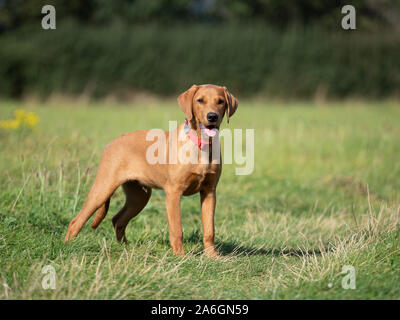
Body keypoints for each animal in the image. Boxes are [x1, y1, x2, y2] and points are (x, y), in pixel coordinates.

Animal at [65, 83, 238, 258]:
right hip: (103, 188)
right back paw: (68, 247)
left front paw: (213, 256)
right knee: (76, 221)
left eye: (221, 101)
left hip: (139, 196)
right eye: (200, 100)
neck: (200, 143)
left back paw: (126, 248)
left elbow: (209, 230)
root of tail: (111, 143)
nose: (212, 117)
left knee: (118, 219)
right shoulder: (174, 192)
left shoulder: (209, 191)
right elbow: (177, 229)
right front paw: (180, 256)